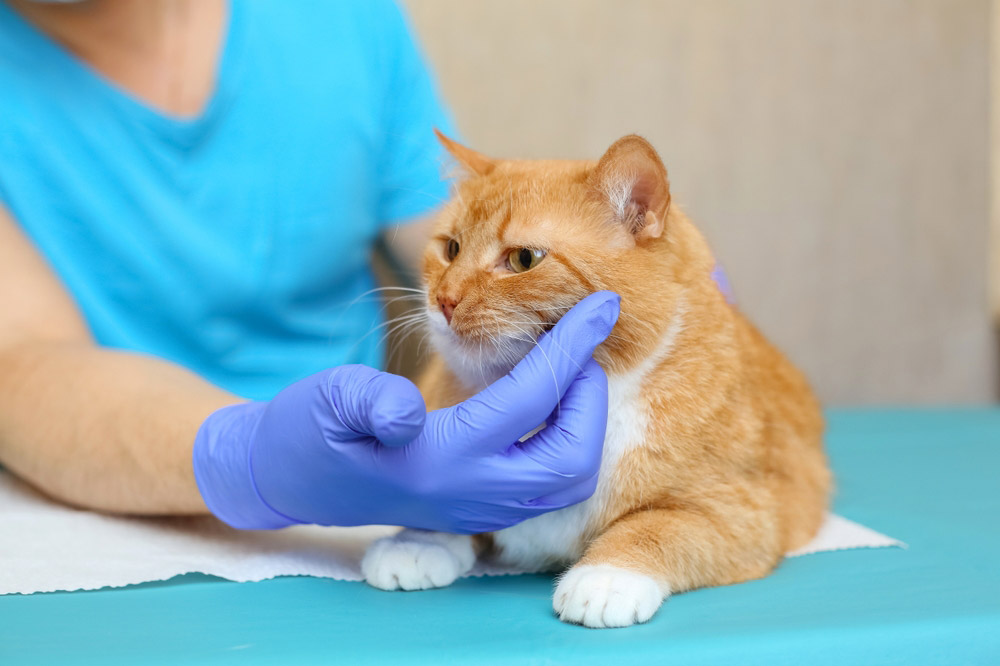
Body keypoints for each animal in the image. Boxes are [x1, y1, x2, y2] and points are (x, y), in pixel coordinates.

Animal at [360, 132, 828, 624]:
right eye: (450, 249)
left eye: (524, 259)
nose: (444, 301)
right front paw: (418, 539)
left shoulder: (743, 508)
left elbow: (655, 525)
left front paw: (607, 577)